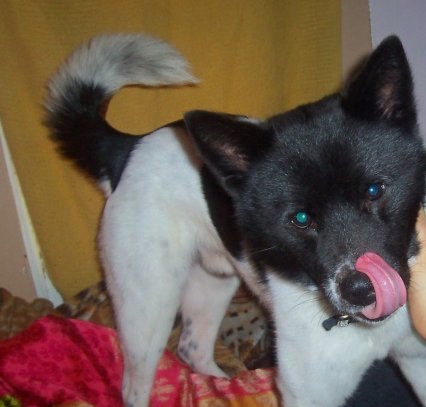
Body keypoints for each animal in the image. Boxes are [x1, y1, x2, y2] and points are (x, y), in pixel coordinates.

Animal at [45, 33, 426, 406]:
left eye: (374, 191)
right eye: (300, 218)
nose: (362, 291)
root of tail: (128, 149)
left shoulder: (417, 360)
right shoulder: (309, 394)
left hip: (213, 282)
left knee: (193, 348)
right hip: (148, 309)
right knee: (135, 384)